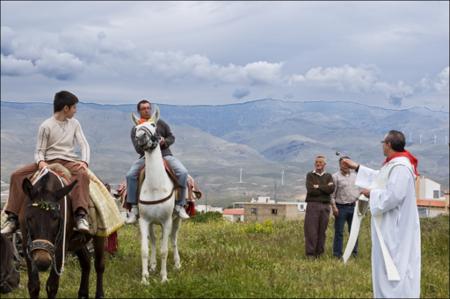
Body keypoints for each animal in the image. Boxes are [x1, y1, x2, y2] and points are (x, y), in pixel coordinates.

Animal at [133, 106, 182, 284]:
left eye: (153, 125)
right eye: (136, 127)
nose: (140, 137)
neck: (155, 187)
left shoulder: (167, 221)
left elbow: (164, 250)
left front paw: (164, 278)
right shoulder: (144, 221)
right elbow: (144, 249)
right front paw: (145, 278)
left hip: (176, 220)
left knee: (173, 239)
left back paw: (177, 264)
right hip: (152, 222)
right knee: (153, 241)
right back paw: (153, 266)